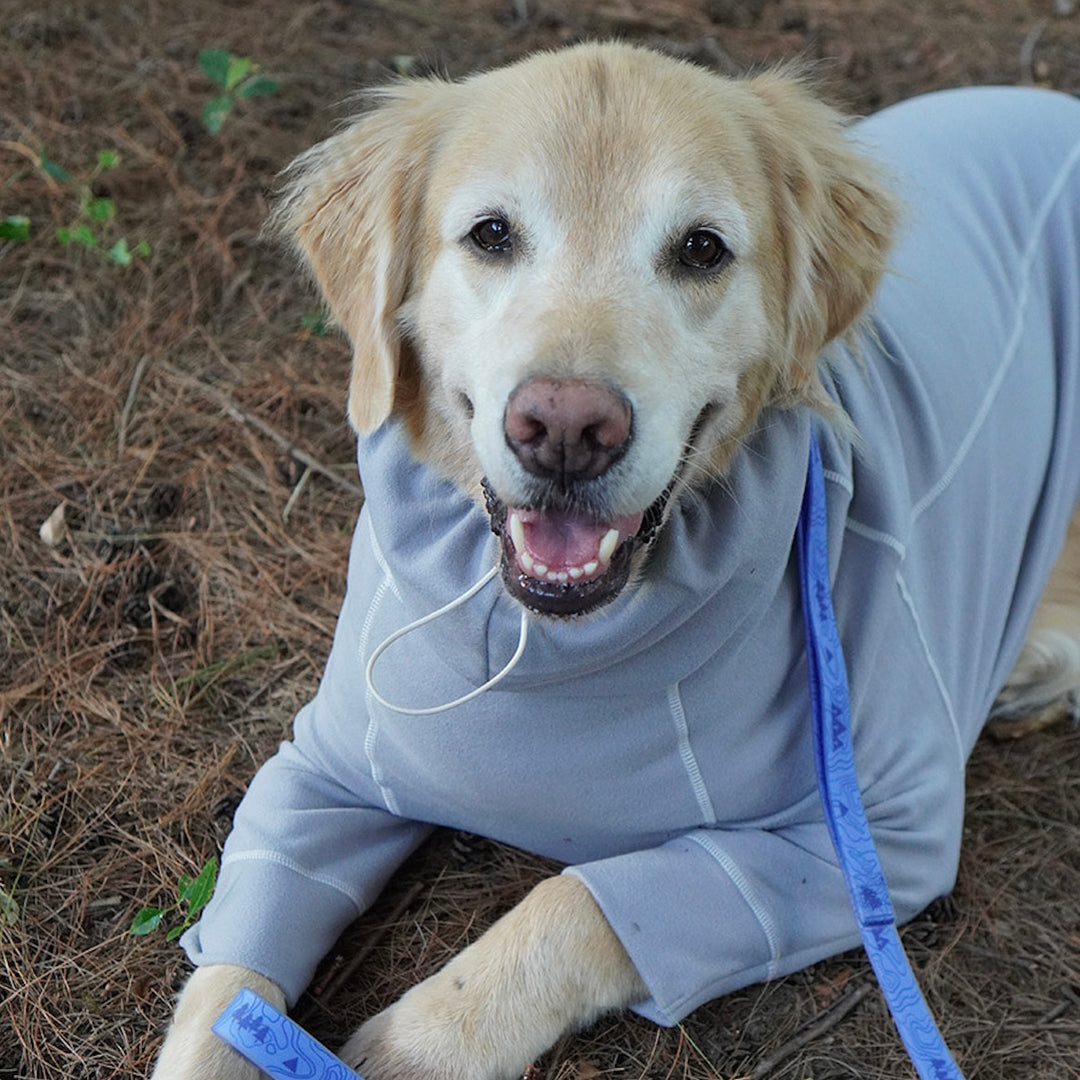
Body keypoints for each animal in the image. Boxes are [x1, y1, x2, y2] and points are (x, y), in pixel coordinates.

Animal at [150, 38, 1080, 1075]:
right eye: (491, 234)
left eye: (702, 249)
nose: (564, 429)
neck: (554, 652)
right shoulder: (316, 769)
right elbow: (229, 981)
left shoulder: (875, 839)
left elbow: (578, 902)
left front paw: (428, 1039)